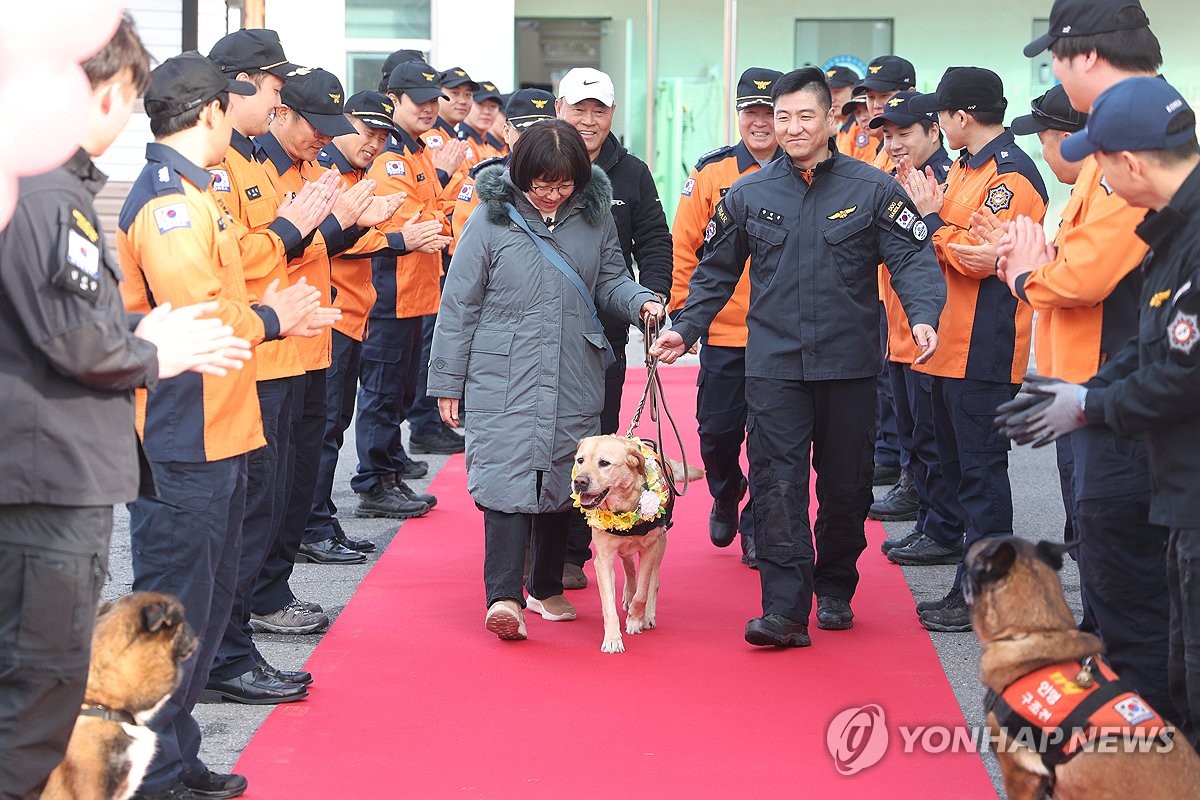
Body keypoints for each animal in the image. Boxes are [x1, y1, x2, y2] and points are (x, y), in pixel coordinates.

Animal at [573, 434, 691, 652]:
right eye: (580, 460)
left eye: (604, 463)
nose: (579, 482)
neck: (623, 506)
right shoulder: (603, 559)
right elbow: (608, 603)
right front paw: (612, 638)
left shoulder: (650, 549)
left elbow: (643, 591)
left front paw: (636, 620)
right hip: (623, 548)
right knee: (628, 566)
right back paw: (628, 593)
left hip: (661, 544)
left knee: (654, 582)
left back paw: (649, 615)